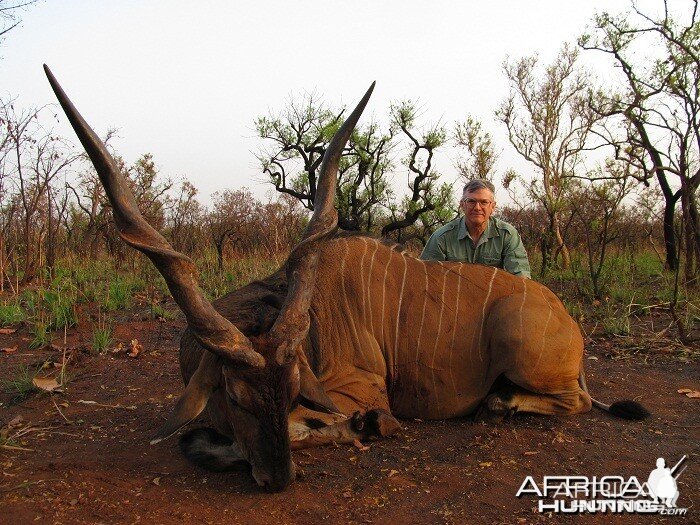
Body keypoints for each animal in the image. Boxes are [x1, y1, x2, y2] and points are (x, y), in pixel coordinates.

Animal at [45, 66, 652, 492]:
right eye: (237, 397)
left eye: (291, 388)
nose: (278, 481)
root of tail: (568, 326)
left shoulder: (358, 388)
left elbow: (314, 424)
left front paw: (368, 426)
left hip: (523, 348)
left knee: (572, 401)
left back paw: (497, 404)